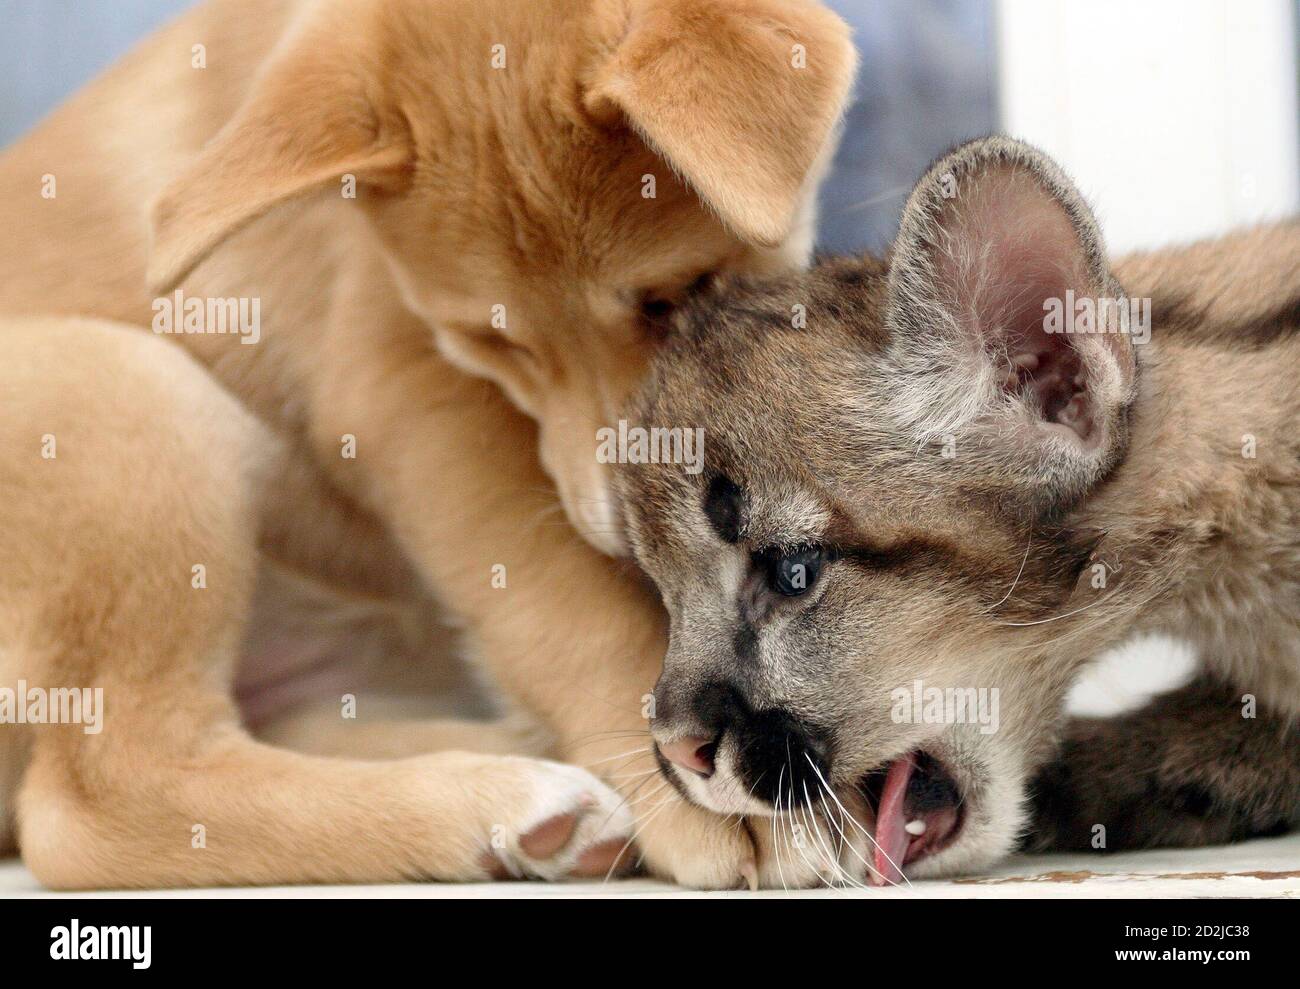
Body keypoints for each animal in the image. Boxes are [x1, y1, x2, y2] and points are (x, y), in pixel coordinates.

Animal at [0, 0, 857, 888]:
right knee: (100, 797)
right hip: (136, 393)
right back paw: (500, 799)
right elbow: (575, 606)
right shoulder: (406, 391)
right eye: (490, 341)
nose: (629, 541)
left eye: (677, 295)